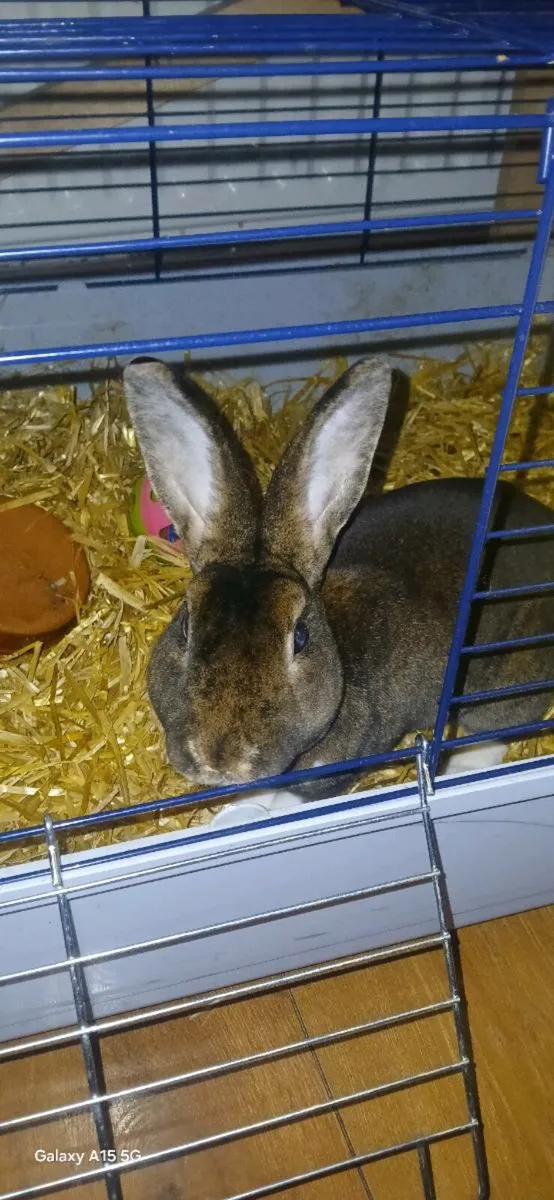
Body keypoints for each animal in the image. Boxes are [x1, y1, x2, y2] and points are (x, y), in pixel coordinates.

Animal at [123, 355, 554, 817]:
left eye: (300, 637)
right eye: (186, 626)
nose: (219, 759)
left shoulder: (349, 756)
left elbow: (295, 799)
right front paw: (236, 810)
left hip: (502, 678)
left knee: (499, 726)